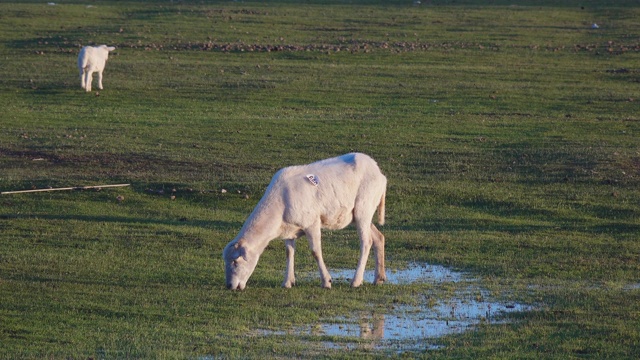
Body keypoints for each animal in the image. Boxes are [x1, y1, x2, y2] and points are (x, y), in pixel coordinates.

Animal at [222, 152, 388, 290]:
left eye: (235, 261)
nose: (229, 286)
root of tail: (379, 172)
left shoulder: (312, 223)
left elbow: (315, 252)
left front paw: (326, 282)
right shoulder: (289, 229)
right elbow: (289, 253)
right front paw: (288, 282)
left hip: (363, 208)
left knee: (366, 242)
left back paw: (356, 281)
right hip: (359, 214)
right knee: (378, 237)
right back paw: (379, 278)